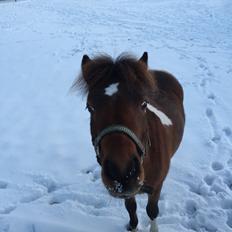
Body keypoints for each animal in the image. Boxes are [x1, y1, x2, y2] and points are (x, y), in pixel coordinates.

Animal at [74, 51, 185, 231]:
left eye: (144, 103)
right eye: (90, 107)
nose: (122, 173)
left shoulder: (156, 188)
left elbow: (152, 210)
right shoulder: (128, 192)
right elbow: (131, 207)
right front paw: (133, 227)